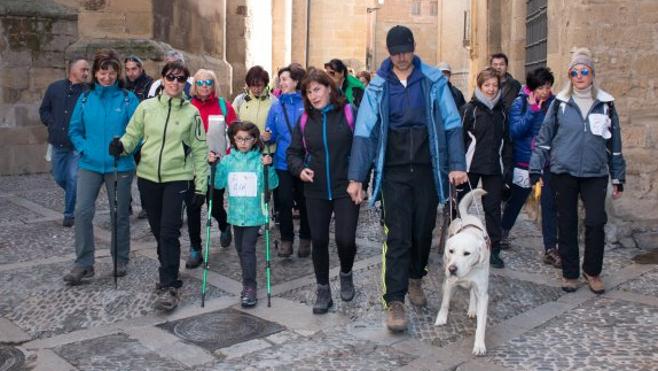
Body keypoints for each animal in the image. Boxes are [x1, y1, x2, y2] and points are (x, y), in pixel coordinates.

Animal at [436, 190, 486, 356]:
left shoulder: (483, 293)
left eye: (467, 253)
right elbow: (445, 303)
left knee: (472, 293)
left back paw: (472, 308)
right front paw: (441, 318)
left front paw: (479, 345)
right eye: (451, 251)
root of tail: (465, 216)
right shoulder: (451, 281)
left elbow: (481, 324)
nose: (452, 269)